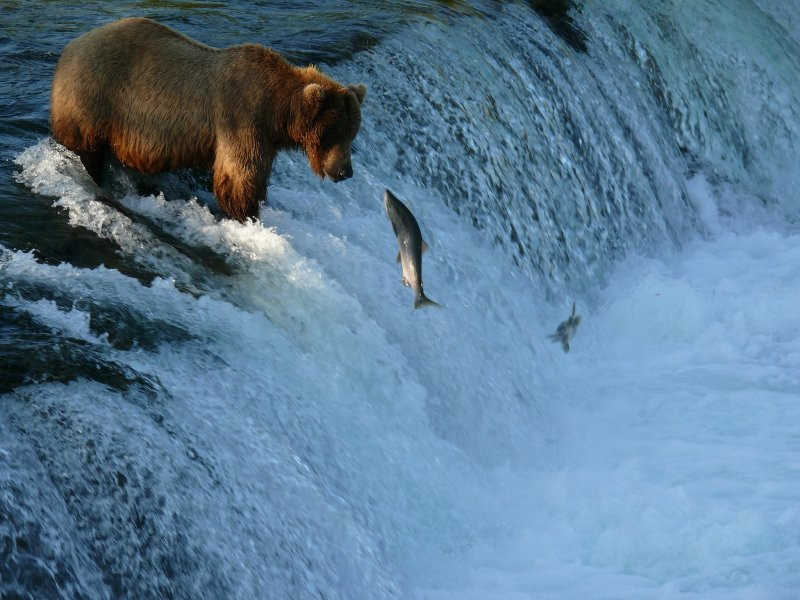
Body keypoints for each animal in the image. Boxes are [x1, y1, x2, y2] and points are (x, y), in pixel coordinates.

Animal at [51, 17, 370, 221]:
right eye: (334, 134)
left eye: (352, 134)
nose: (345, 171)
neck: (278, 113)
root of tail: (70, 47)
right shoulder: (242, 117)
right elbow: (239, 175)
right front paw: (245, 214)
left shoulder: (266, 138)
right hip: (95, 99)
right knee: (88, 148)